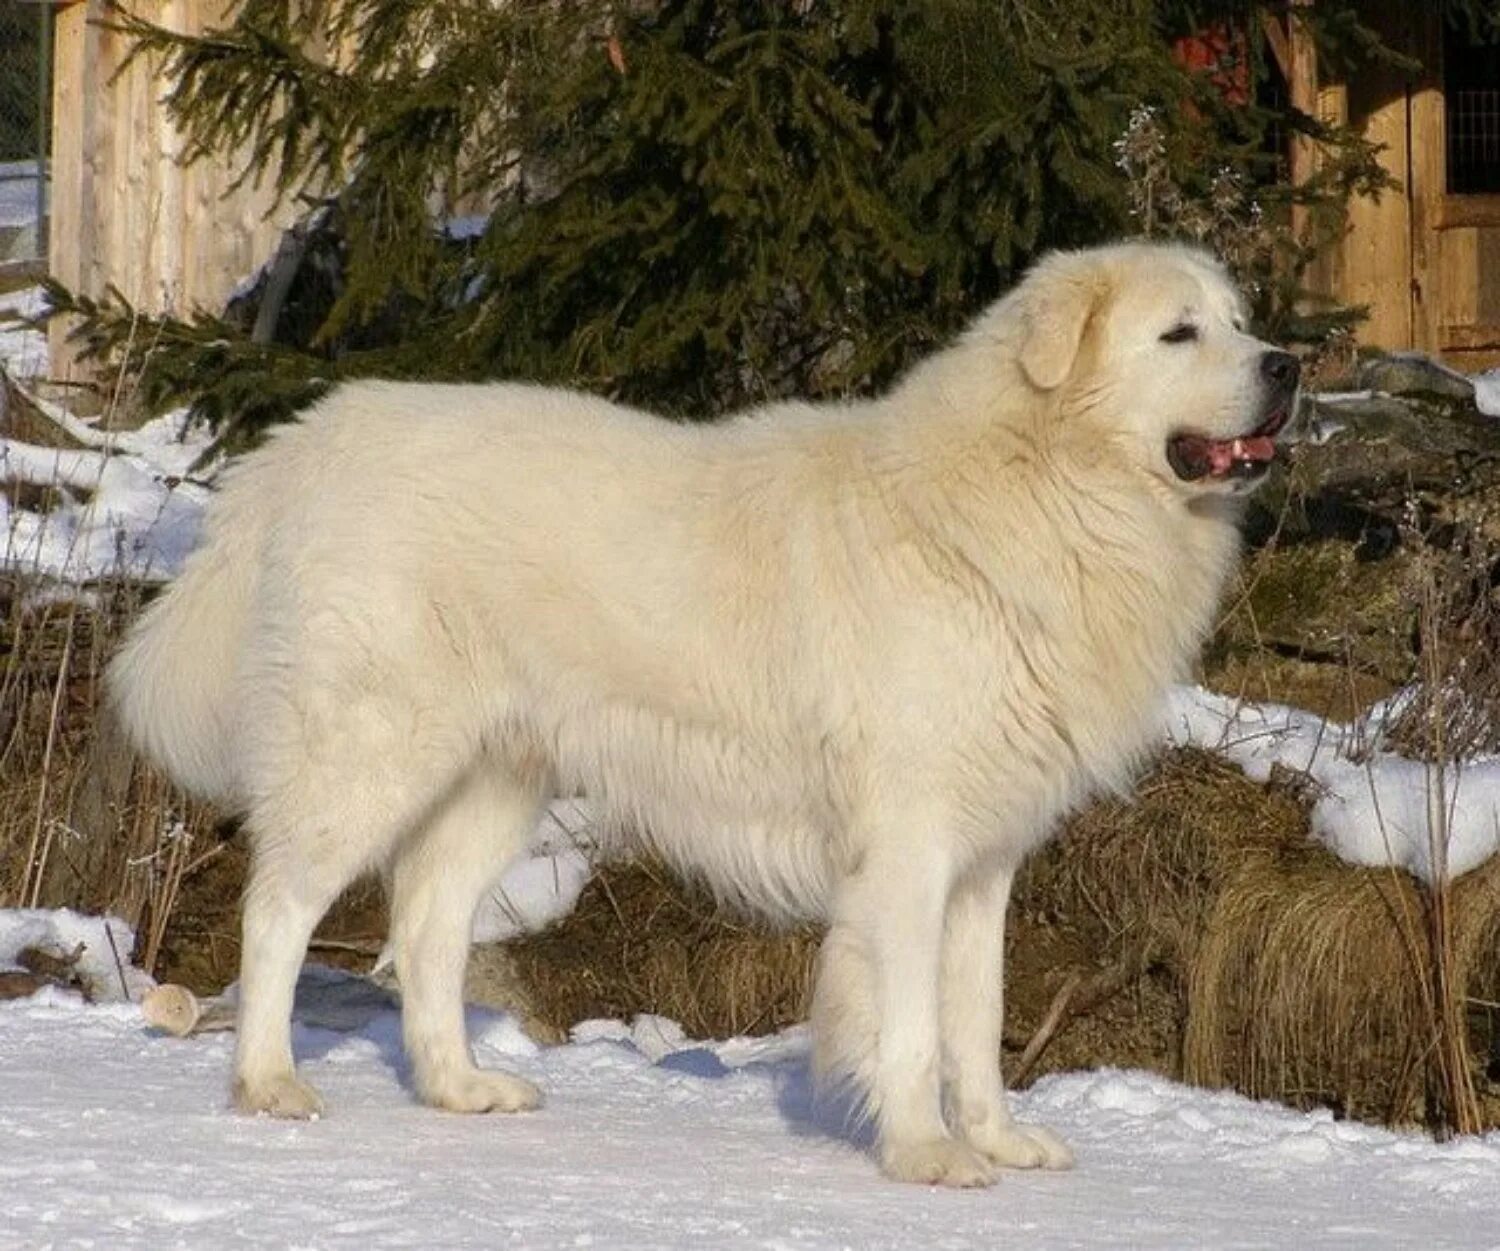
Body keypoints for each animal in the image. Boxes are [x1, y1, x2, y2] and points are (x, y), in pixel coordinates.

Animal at [111, 241, 1296, 1182]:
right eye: (1180, 331)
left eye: (1242, 320)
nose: (1289, 364)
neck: (1036, 493)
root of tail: (314, 436)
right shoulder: (910, 846)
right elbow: (913, 1025)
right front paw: (925, 1155)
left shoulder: (984, 859)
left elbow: (979, 1018)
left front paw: (998, 1142)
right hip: (369, 749)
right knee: (279, 911)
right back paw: (269, 1083)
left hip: (498, 776)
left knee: (428, 922)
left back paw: (458, 1086)